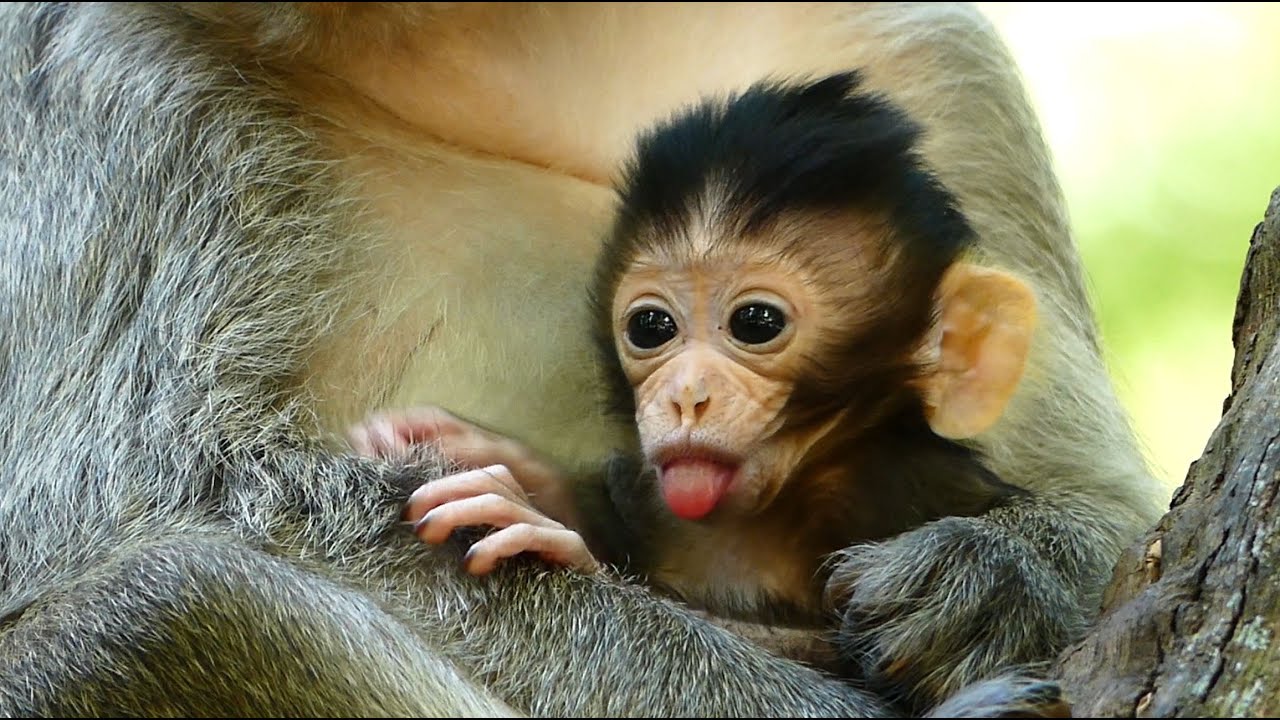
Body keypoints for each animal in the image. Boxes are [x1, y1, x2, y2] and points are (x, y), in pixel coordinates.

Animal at [349, 73, 1037, 654]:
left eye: (756, 323)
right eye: (651, 327)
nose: (685, 394)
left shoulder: (899, 489)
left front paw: (546, 529)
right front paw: (503, 461)